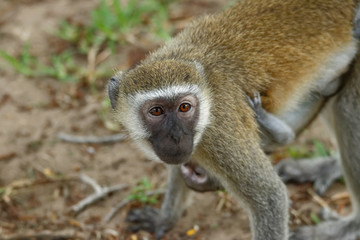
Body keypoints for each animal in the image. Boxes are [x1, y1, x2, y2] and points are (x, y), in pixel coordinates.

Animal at [107, 0, 360, 240]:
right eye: (156, 111)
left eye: (184, 107)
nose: (176, 136)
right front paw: (165, 218)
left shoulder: (220, 131)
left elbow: (270, 198)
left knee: (346, 108)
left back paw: (350, 226)